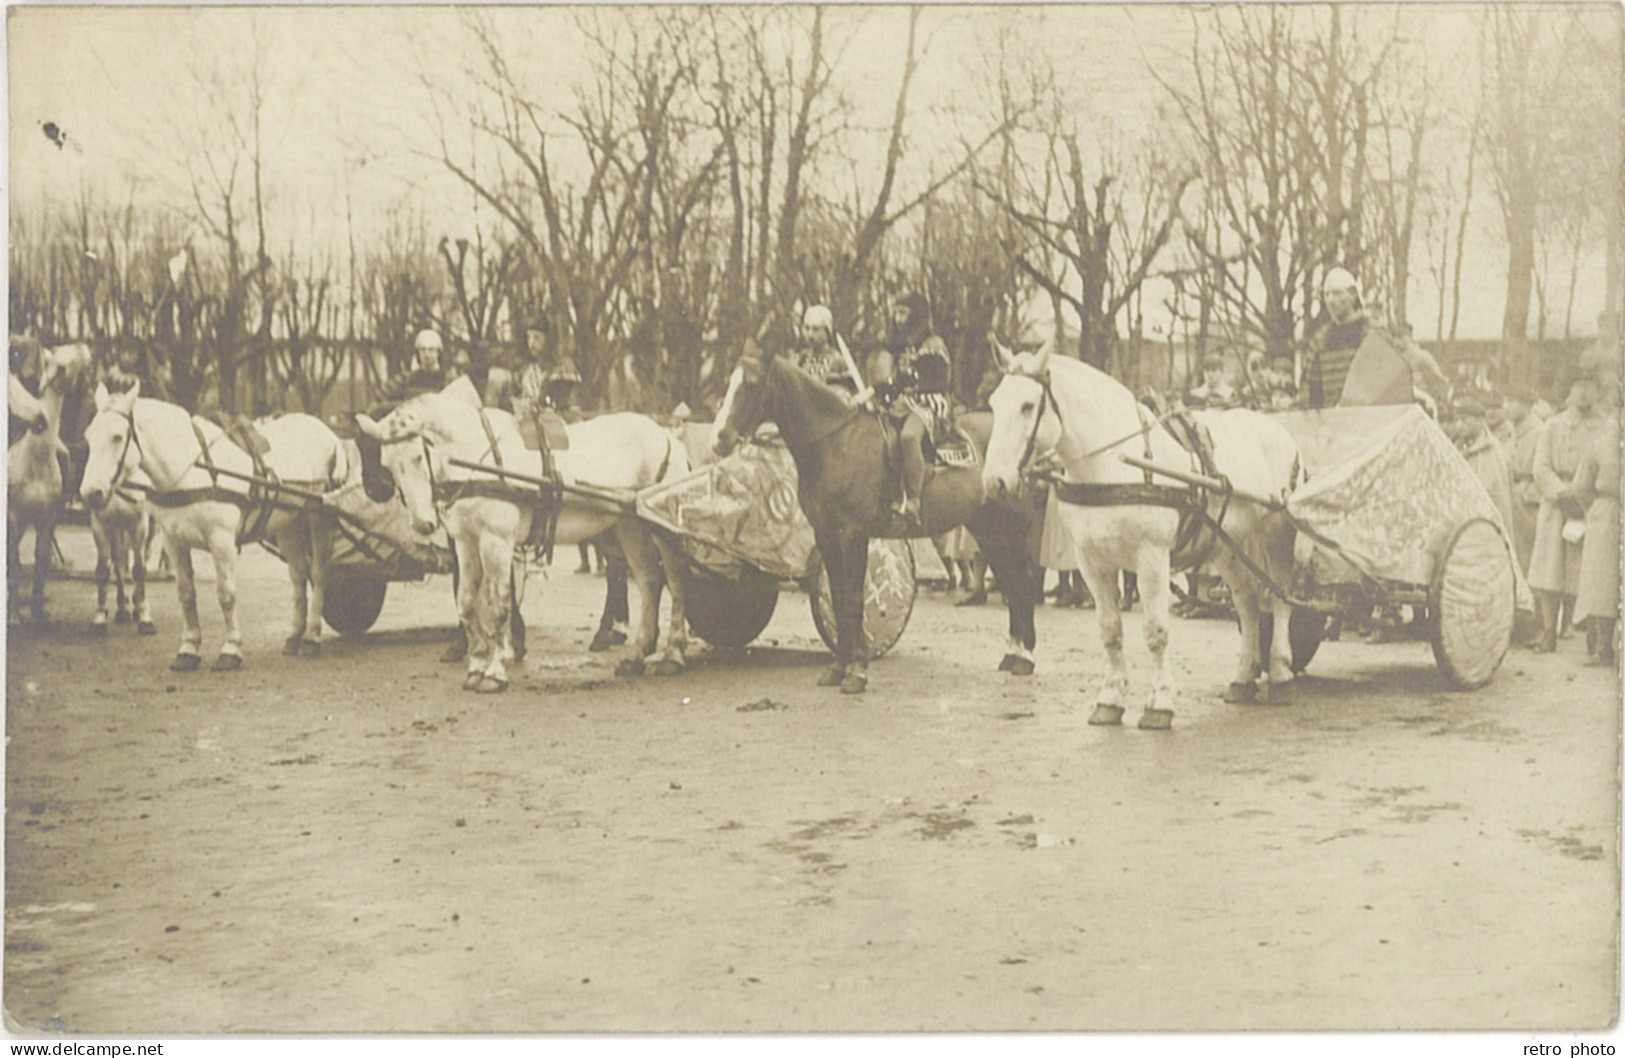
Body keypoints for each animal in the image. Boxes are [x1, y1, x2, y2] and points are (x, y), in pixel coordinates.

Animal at [80, 383, 347, 669]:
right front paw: (188, 648)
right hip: (289, 523)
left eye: (117, 437)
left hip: (319, 518)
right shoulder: (174, 542)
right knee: (298, 575)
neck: (191, 472)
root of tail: (326, 430)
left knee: (318, 573)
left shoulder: (222, 541)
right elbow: (186, 594)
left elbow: (226, 594)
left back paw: (312, 637)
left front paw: (231, 648)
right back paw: (295, 635)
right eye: (88, 437)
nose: (91, 493)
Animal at [355, 388, 692, 695]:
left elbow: (498, 606)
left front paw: (494, 672)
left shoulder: (497, 540)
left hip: (662, 527)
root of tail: (667, 436)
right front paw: (476, 666)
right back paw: (637, 655)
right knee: (649, 581)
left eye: (417, 456)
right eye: (388, 463)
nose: (423, 523)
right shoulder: (466, 541)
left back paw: (673, 653)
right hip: (628, 525)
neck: (474, 457)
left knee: (676, 582)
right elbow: (466, 601)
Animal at [715, 342, 1040, 698]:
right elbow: (839, 597)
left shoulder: (853, 535)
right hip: (988, 529)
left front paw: (857, 670)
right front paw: (838, 667)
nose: (719, 438)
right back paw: (1013, 653)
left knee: (1023, 581)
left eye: (752, 383)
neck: (835, 443)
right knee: (1011, 579)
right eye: (729, 381)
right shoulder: (827, 536)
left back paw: (1025, 658)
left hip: (1012, 527)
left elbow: (854, 598)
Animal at [981, 339, 1300, 728]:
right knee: (1248, 606)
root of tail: (1277, 429)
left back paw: (1281, 673)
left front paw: (1160, 703)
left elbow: (1155, 631)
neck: (1114, 463)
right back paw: (1243, 677)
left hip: (1277, 539)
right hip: (1229, 547)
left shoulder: (1152, 557)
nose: (993, 482)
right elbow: (1109, 630)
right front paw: (1110, 698)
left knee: (1281, 598)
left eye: (1027, 405)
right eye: (994, 403)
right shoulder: (1092, 561)